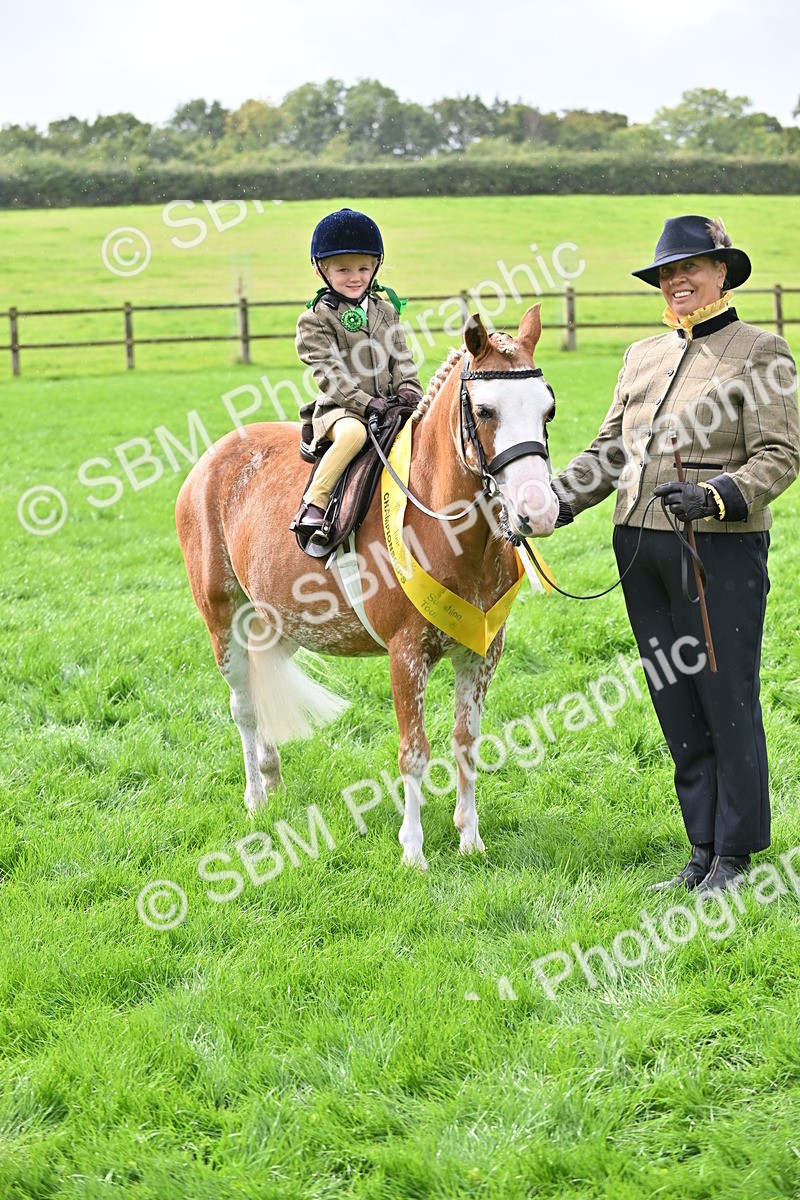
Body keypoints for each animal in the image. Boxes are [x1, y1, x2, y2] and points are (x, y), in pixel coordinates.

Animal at [175, 304, 560, 869]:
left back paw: (273, 779)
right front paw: (414, 852)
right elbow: (414, 752)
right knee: (244, 707)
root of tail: (212, 459)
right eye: (486, 411)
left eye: (547, 410)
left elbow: (466, 741)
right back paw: (255, 798)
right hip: (222, 620)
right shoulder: (406, 654)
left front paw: (469, 837)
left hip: (277, 624)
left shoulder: (482, 652)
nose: (540, 511)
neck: (439, 522)